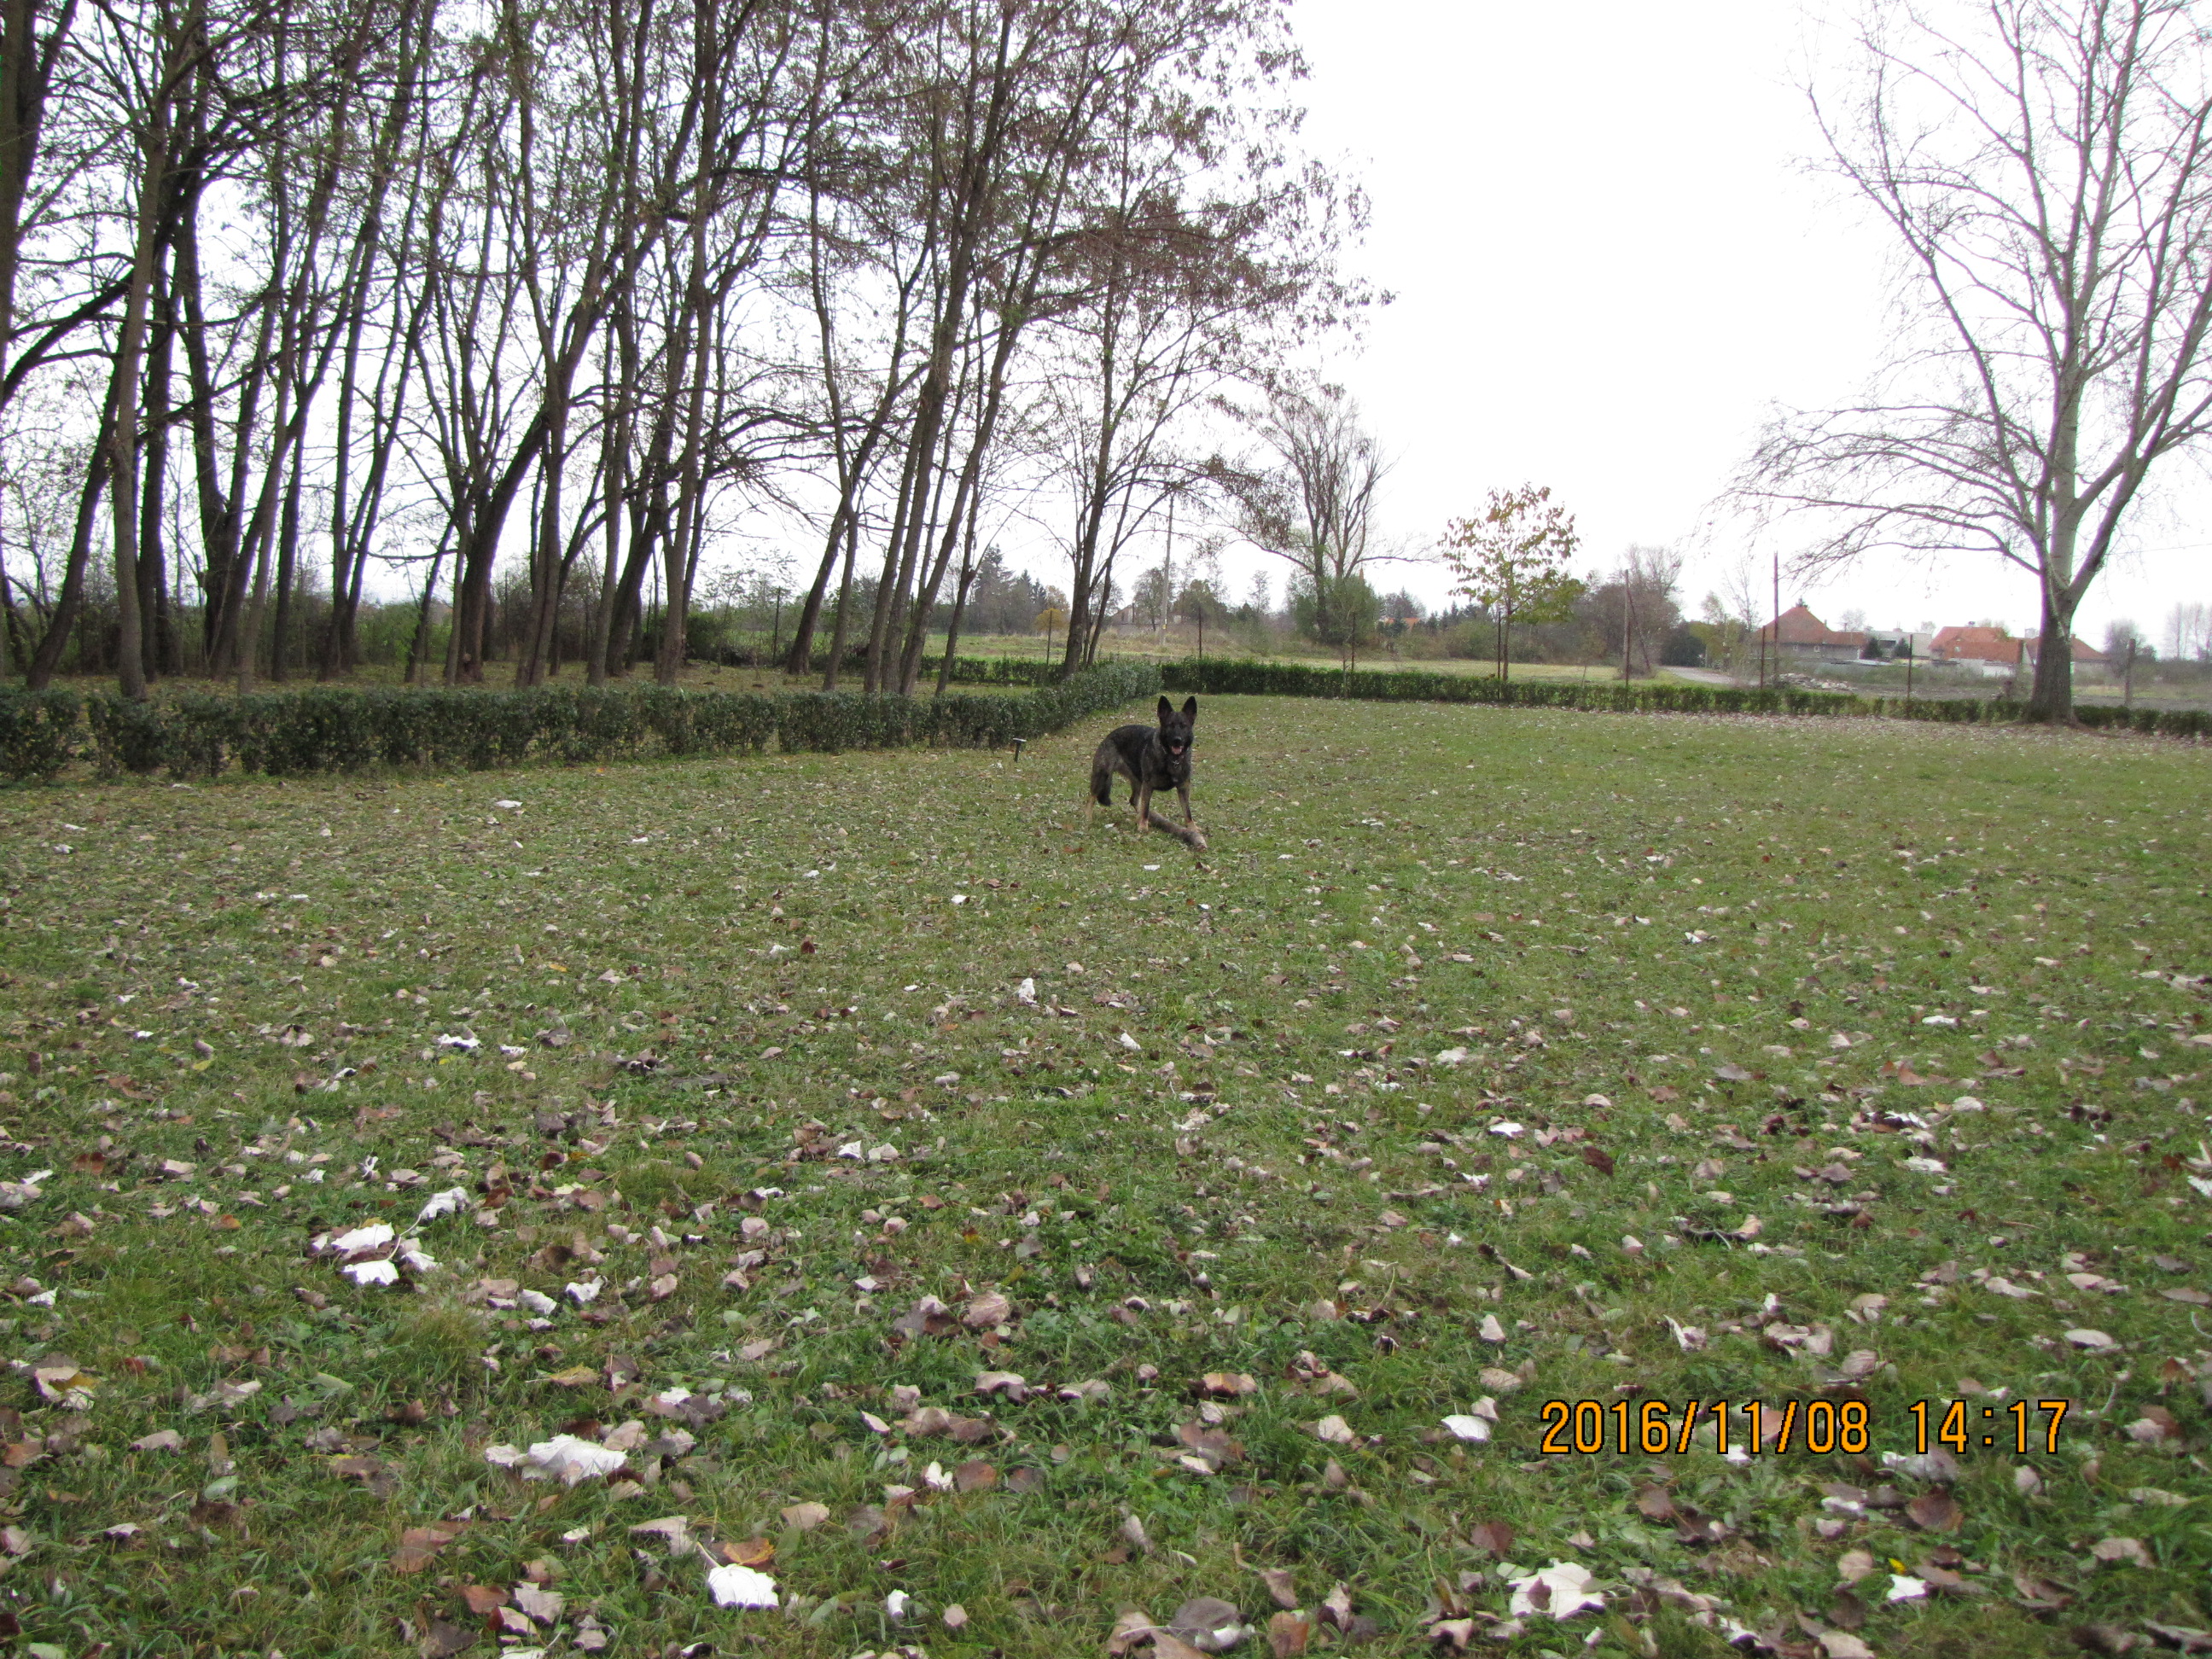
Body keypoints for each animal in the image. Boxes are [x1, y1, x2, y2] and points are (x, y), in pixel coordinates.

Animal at [1088, 703, 1212, 858]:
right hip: (1102, 776)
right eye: (1170, 725)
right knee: (1091, 798)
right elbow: (1146, 808)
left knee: (1134, 800)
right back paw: (1087, 819)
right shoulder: (1149, 786)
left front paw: (1192, 827)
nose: (1177, 740)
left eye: (1184, 726)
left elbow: (1187, 811)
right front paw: (1143, 826)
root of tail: (1109, 735)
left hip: (1137, 782)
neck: (1171, 758)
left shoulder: (1183, 787)